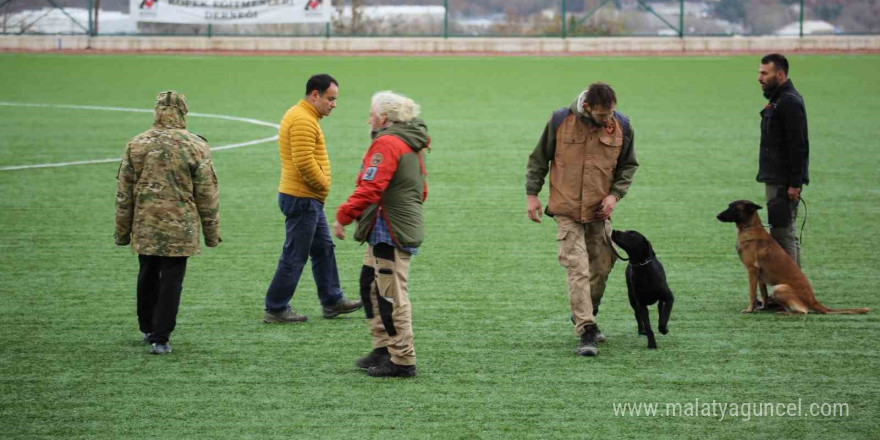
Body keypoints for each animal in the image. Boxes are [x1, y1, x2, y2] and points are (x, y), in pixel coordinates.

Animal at [720, 201, 868, 314]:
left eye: (734, 208)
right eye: (729, 206)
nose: (717, 215)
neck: (749, 228)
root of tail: (813, 300)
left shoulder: (752, 270)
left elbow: (752, 293)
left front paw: (749, 309)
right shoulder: (759, 275)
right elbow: (763, 293)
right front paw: (762, 307)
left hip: (779, 288)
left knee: (803, 311)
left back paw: (783, 313)